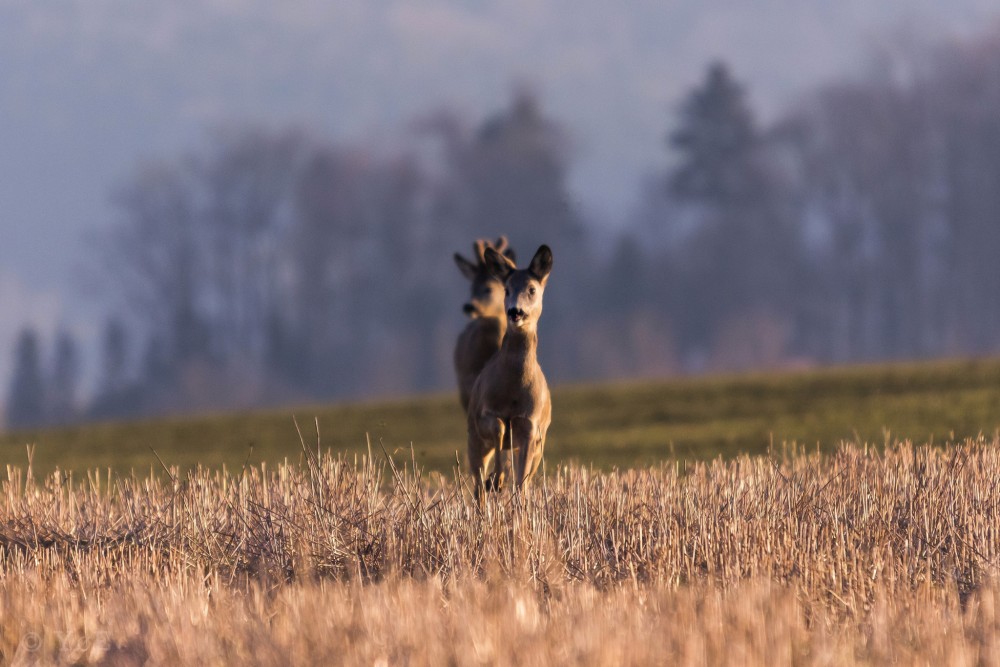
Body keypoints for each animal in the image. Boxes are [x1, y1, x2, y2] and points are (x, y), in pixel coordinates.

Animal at [464, 243, 552, 498]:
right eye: (506, 289)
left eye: (532, 289)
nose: (515, 311)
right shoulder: (485, 415)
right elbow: (499, 428)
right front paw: (497, 479)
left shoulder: (531, 425)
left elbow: (521, 482)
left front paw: (505, 486)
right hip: (473, 439)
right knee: (477, 487)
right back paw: (489, 485)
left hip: (539, 445)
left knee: (524, 480)